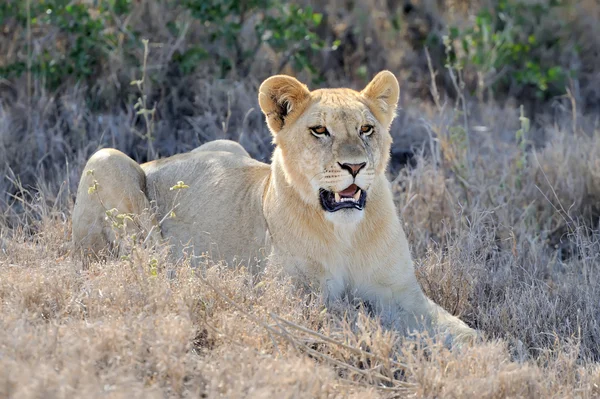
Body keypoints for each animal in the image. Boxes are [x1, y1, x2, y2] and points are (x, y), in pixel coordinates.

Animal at [72, 71, 478, 344]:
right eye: (320, 131)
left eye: (366, 129)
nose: (356, 166)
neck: (345, 232)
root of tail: (157, 161)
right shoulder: (292, 301)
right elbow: (353, 320)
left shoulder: (401, 293)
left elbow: (463, 333)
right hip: (107, 160)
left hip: (227, 144)